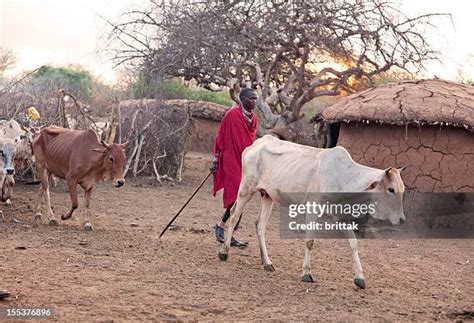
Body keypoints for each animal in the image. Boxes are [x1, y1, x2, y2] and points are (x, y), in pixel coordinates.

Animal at [219, 135, 408, 290]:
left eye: (402, 188)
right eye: (391, 189)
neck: (343, 176)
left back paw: (267, 262)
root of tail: (256, 144)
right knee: (234, 217)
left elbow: (353, 243)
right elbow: (310, 241)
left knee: (260, 225)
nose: (402, 219)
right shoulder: (312, 208)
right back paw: (224, 251)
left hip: (267, 196)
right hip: (246, 189)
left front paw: (360, 278)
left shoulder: (342, 216)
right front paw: (306, 273)